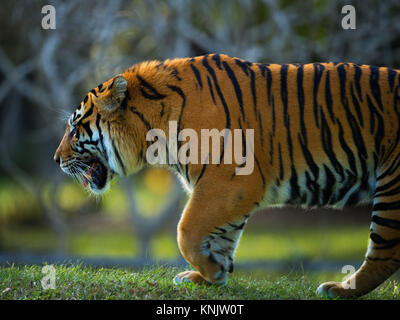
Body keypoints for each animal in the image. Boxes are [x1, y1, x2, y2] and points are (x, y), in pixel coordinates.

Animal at [54, 53, 400, 298]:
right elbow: (221, 237)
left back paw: (339, 290)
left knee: (385, 252)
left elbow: (186, 231)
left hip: (392, 184)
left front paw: (211, 271)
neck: (154, 127)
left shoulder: (230, 181)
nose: (56, 159)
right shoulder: (227, 189)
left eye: (74, 128)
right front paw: (209, 274)